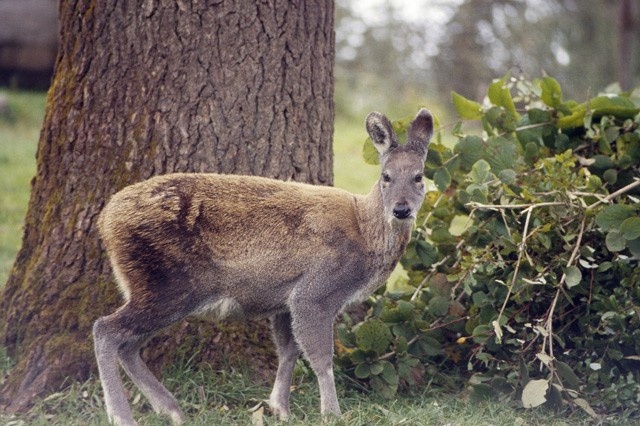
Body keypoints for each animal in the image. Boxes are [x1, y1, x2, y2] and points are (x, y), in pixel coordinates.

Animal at [93, 109, 434, 426]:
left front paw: (280, 408)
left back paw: (170, 409)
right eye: (386, 176)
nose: (401, 210)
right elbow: (321, 356)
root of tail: (105, 221)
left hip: (162, 290)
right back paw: (122, 415)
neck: (364, 233)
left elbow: (289, 350)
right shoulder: (316, 289)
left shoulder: (286, 299)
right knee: (105, 330)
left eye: (419, 176)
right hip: (165, 284)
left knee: (128, 345)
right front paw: (332, 413)